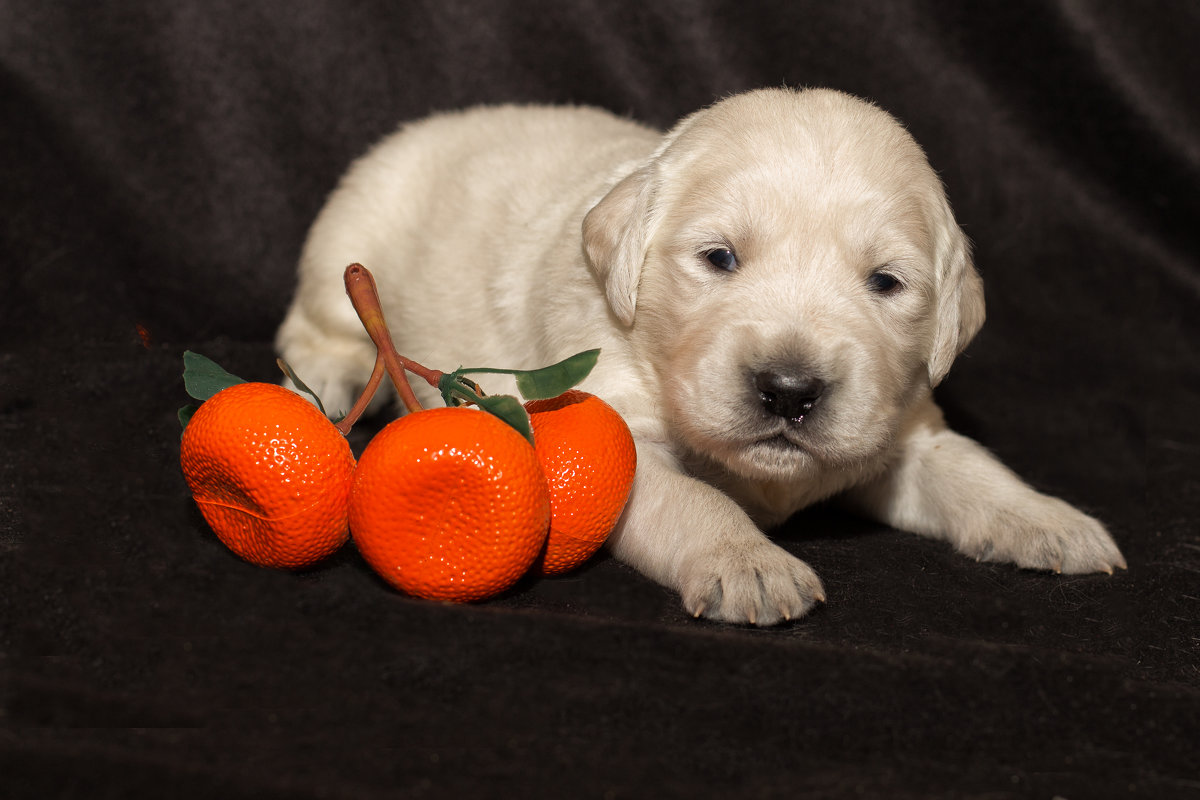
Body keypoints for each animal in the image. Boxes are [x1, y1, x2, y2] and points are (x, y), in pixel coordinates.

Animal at [274, 89, 1123, 623]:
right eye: (718, 258)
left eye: (886, 282)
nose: (789, 390)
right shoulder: (611, 434)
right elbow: (694, 499)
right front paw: (748, 563)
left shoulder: (899, 426)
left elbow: (968, 468)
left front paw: (1048, 520)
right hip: (349, 238)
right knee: (314, 322)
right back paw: (327, 373)